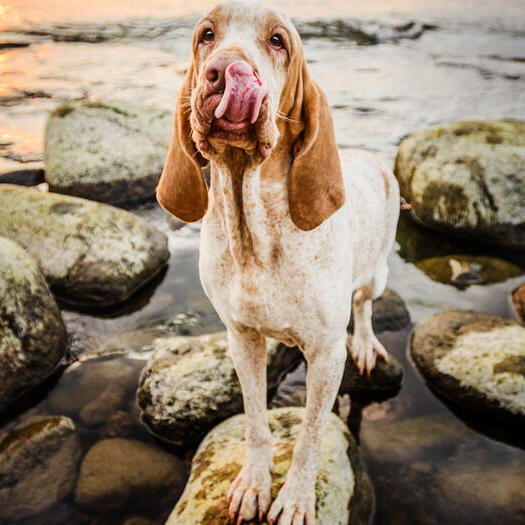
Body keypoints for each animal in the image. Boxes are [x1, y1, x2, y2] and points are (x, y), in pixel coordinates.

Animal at [156, 2, 398, 520]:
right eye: (207, 34)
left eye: (277, 41)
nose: (228, 71)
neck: (256, 234)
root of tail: (375, 160)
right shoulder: (242, 339)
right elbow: (254, 419)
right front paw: (253, 483)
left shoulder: (325, 356)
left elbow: (310, 437)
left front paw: (296, 498)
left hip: (378, 273)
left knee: (365, 304)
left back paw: (366, 343)